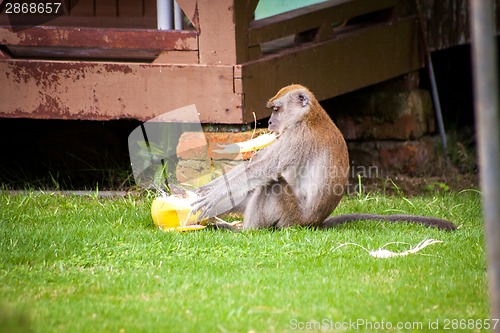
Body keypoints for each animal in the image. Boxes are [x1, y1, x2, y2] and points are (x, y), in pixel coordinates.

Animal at [194, 83, 458, 231]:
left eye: (276, 109)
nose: (269, 123)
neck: (307, 116)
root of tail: (314, 223)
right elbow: (255, 168)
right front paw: (200, 192)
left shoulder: (297, 137)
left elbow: (263, 169)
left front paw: (211, 194)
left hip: (292, 218)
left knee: (272, 185)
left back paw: (245, 231)